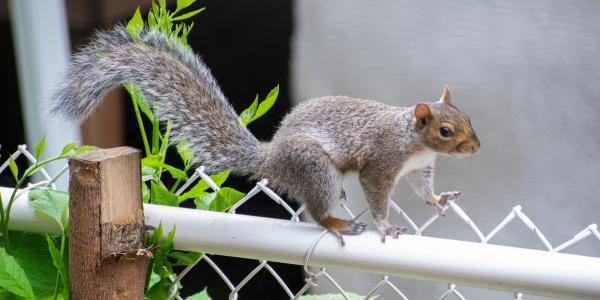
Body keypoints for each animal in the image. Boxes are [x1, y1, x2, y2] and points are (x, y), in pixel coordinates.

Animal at [54, 25, 480, 244]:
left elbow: (423, 188)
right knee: (316, 211)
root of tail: (272, 157)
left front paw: (439, 200)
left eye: (467, 117)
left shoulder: (418, 167)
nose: (476, 147)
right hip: (316, 168)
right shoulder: (382, 161)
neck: (414, 142)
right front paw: (386, 226)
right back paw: (336, 223)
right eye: (446, 130)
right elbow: (377, 195)